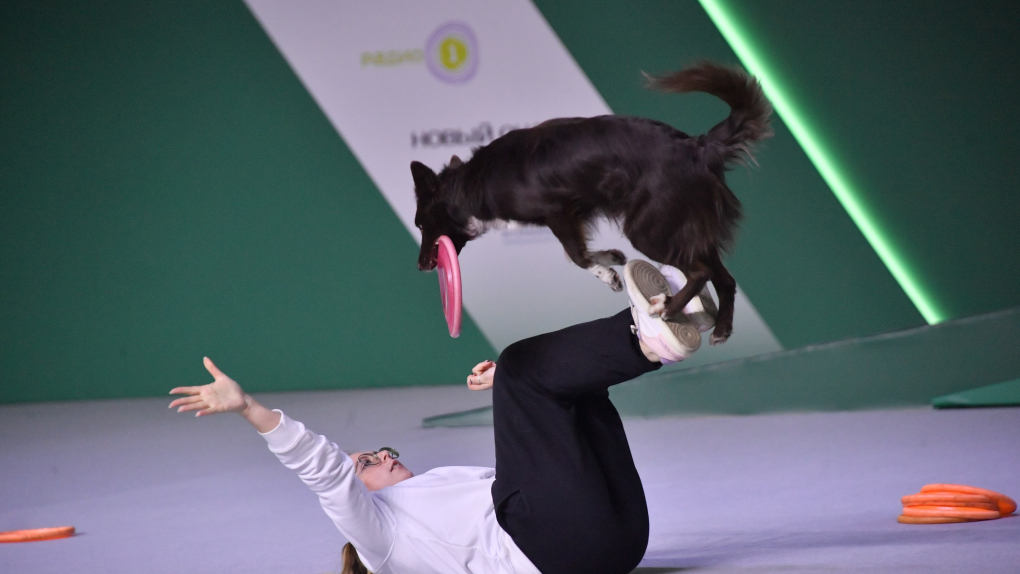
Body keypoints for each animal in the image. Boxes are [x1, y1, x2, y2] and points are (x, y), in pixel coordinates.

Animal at [411, 62, 772, 344]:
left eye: (420, 224)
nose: (420, 266)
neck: (474, 183)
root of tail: (696, 146)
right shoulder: (574, 215)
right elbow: (580, 252)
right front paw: (610, 257)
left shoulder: (559, 212)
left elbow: (575, 256)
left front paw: (608, 274)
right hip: (686, 228)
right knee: (724, 279)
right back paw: (721, 329)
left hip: (650, 230)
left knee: (699, 272)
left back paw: (667, 307)